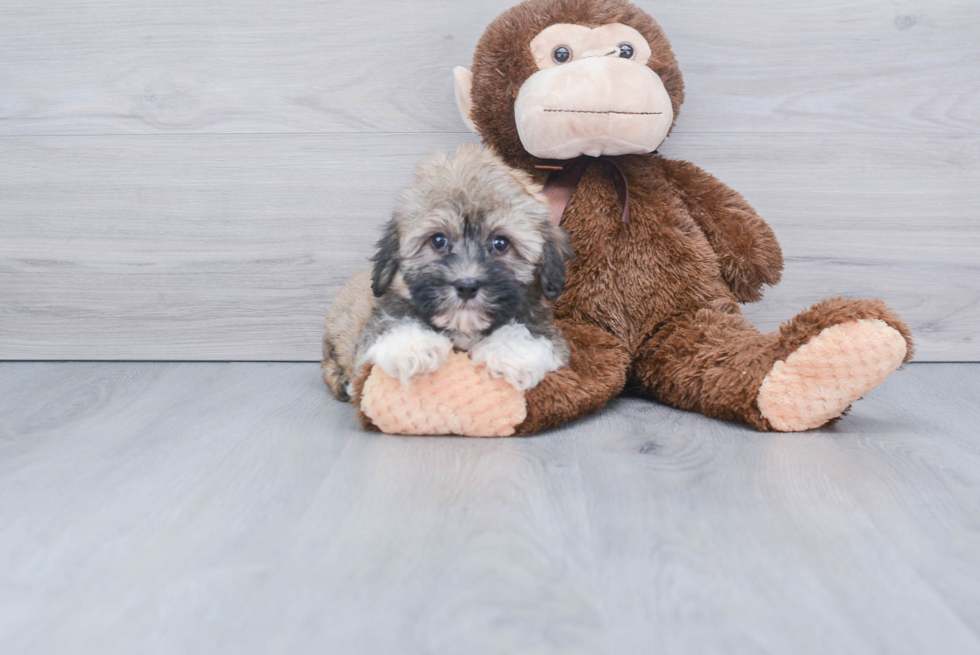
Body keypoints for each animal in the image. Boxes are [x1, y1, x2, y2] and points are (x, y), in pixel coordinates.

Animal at [322, 144, 572, 400]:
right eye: (438, 240)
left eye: (501, 243)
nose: (467, 286)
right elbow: (391, 325)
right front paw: (412, 349)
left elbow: (533, 335)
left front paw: (509, 355)